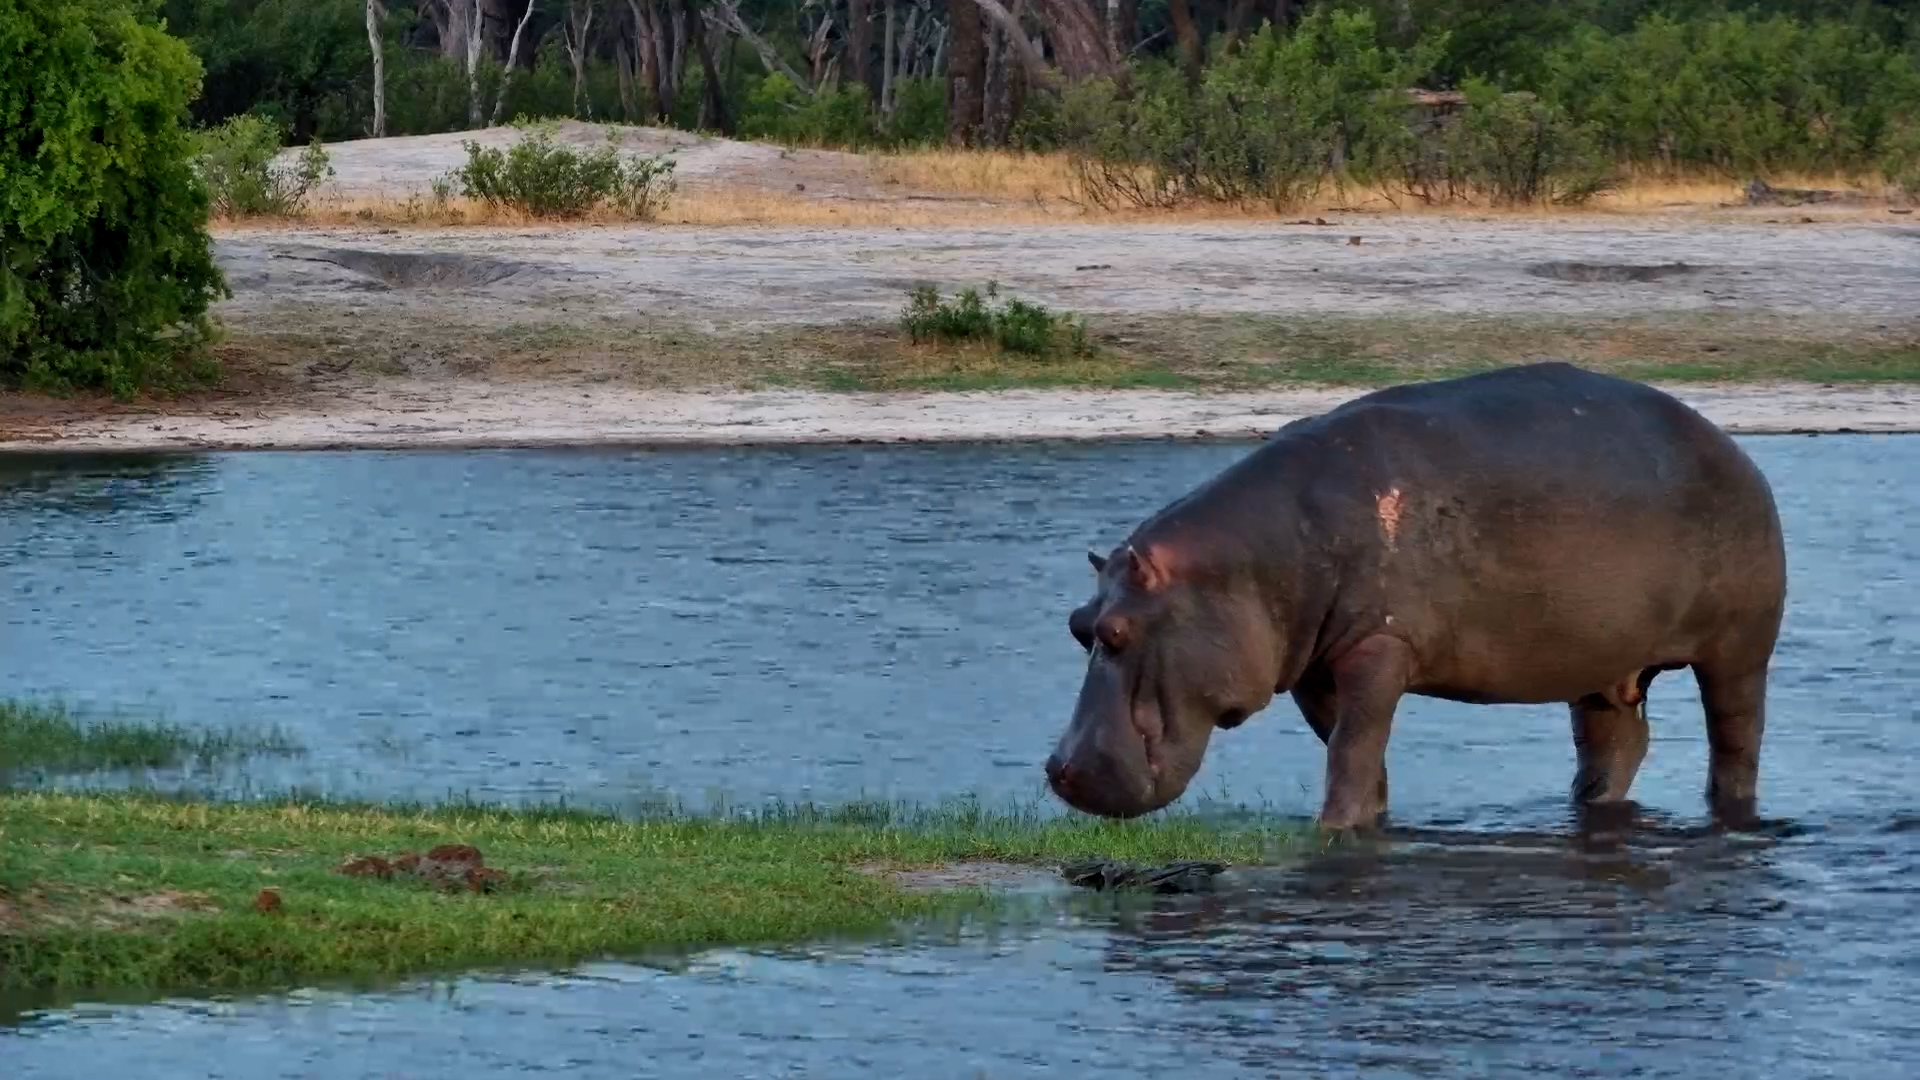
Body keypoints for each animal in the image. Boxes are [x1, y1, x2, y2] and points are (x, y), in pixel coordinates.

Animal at [1046, 362, 1786, 830]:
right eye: (1078, 623)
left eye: (1114, 633)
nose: (1059, 770)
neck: (1248, 564)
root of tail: (1727, 443)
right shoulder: (1314, 667)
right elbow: (1352, 749)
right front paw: (1367, 819)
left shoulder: (1380, 644)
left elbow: (1354, 745)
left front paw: (1335, 830)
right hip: (1604, 660)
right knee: (1615, 741)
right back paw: (1589, 806)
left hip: (1740, 649)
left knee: (1736, 737)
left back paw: (1732, 812)